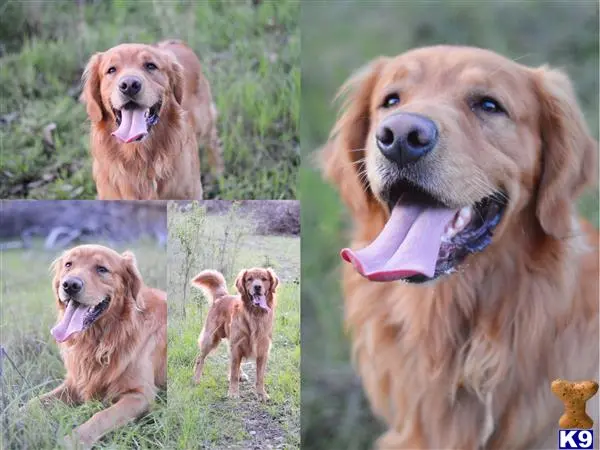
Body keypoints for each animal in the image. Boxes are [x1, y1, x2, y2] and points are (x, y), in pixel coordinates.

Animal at [35, 244, 166, 448]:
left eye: (102, 269)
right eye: (68, 264)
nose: (70, 285)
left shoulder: (141, 394)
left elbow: (101, 416)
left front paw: (73, 441)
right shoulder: (75, 382)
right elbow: (35, 402)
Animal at [81, 40, 223, 199]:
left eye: (150, 65)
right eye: (111, 70)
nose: (129, 85)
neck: (139, 157)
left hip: (204, 121)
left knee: (212, 141)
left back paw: (217, 172)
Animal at [190, 268, 278, 400]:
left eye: (264, 279)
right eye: (249, 279)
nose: (257, 287)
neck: (254, 315)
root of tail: (222, 296)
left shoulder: (262, 349)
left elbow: (260, 376)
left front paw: (262, 394)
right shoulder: (236, 345)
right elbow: (233, 374)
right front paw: (233, 393)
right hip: (210, 338)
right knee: (200, 358)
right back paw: (196, 379)